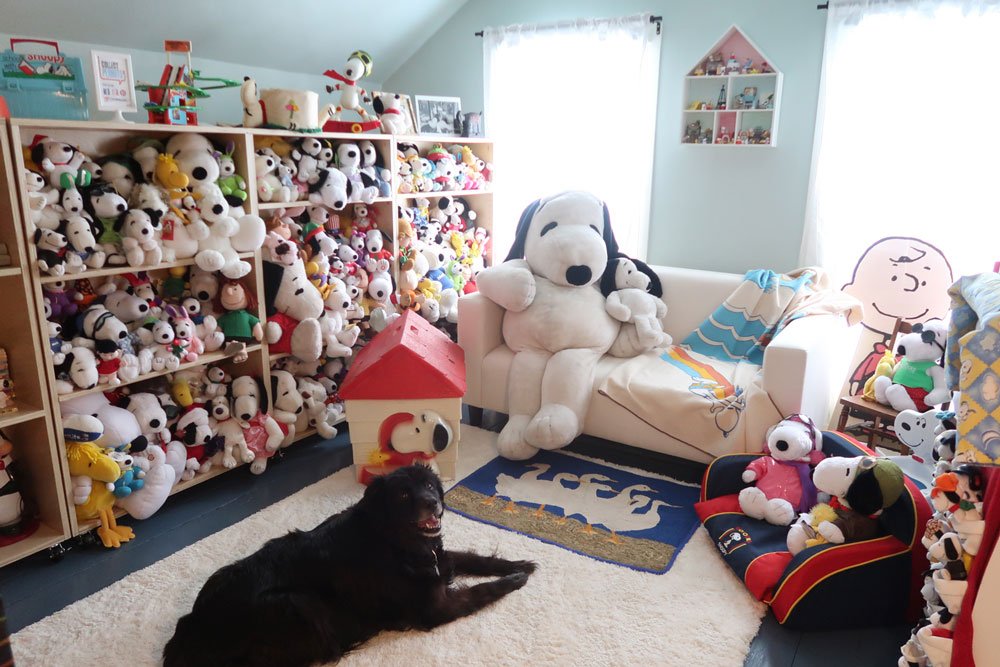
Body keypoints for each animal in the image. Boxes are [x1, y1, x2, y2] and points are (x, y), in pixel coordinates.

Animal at [163, 465, 535, 666]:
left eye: (430, 486)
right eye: (403, 495)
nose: (433, 504)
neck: (391, 539)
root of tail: (190, 626)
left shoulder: (438, 560)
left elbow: (474, 558)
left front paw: (519, 563)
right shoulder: (435, 607)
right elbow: (482, 591)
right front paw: (515, 579)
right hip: (298, 602)